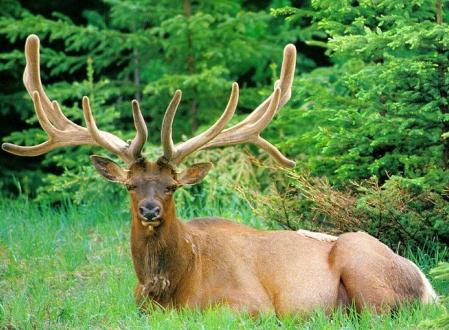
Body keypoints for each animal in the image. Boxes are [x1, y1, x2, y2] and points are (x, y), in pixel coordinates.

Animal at [3, 34, 438, 316]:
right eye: (130, 185)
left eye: (171, 187)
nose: (149, 210)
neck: (170, 289)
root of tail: (428, 286)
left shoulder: (250, 304)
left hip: (362, 266)